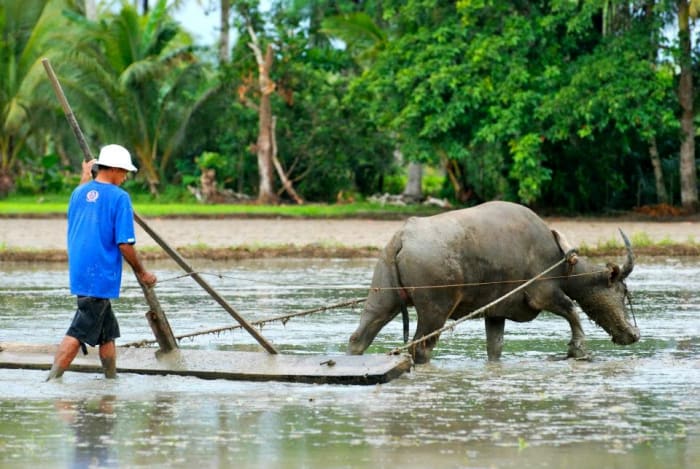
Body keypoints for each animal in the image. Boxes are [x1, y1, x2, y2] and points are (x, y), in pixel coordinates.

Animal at [348, 200, 640, 362]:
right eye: (622, 290)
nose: (633, 334)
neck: (561, 260)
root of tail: (403, 235)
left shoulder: (496, 313)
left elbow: (495, 348)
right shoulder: (543, 293)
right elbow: (572, 311)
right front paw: (578, 349)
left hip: (383, 297)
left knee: (359, 337)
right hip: (435, 309)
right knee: (420, 347)